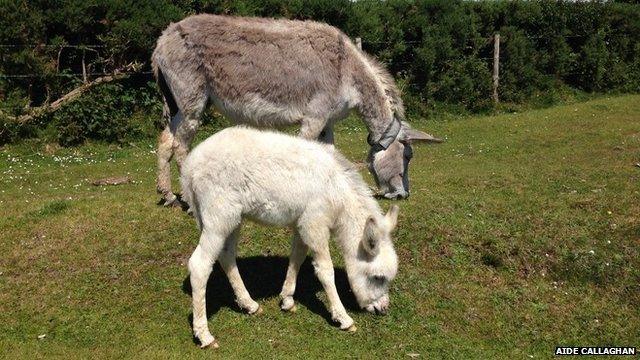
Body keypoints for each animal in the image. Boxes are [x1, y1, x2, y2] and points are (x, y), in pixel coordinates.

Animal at [181, 127, 400, 348]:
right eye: (377, 277)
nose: (383, 310)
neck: (337, 192)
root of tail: (189, 168)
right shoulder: (314, 223)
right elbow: (325, 271)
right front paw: (343, 318)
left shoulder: (302, 223)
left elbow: (297, 258)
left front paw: (287, 299)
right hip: (218, 215)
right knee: (199, 265)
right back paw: (204, 335)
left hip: (232, 218)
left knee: (226, 255)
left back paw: (249, 304)